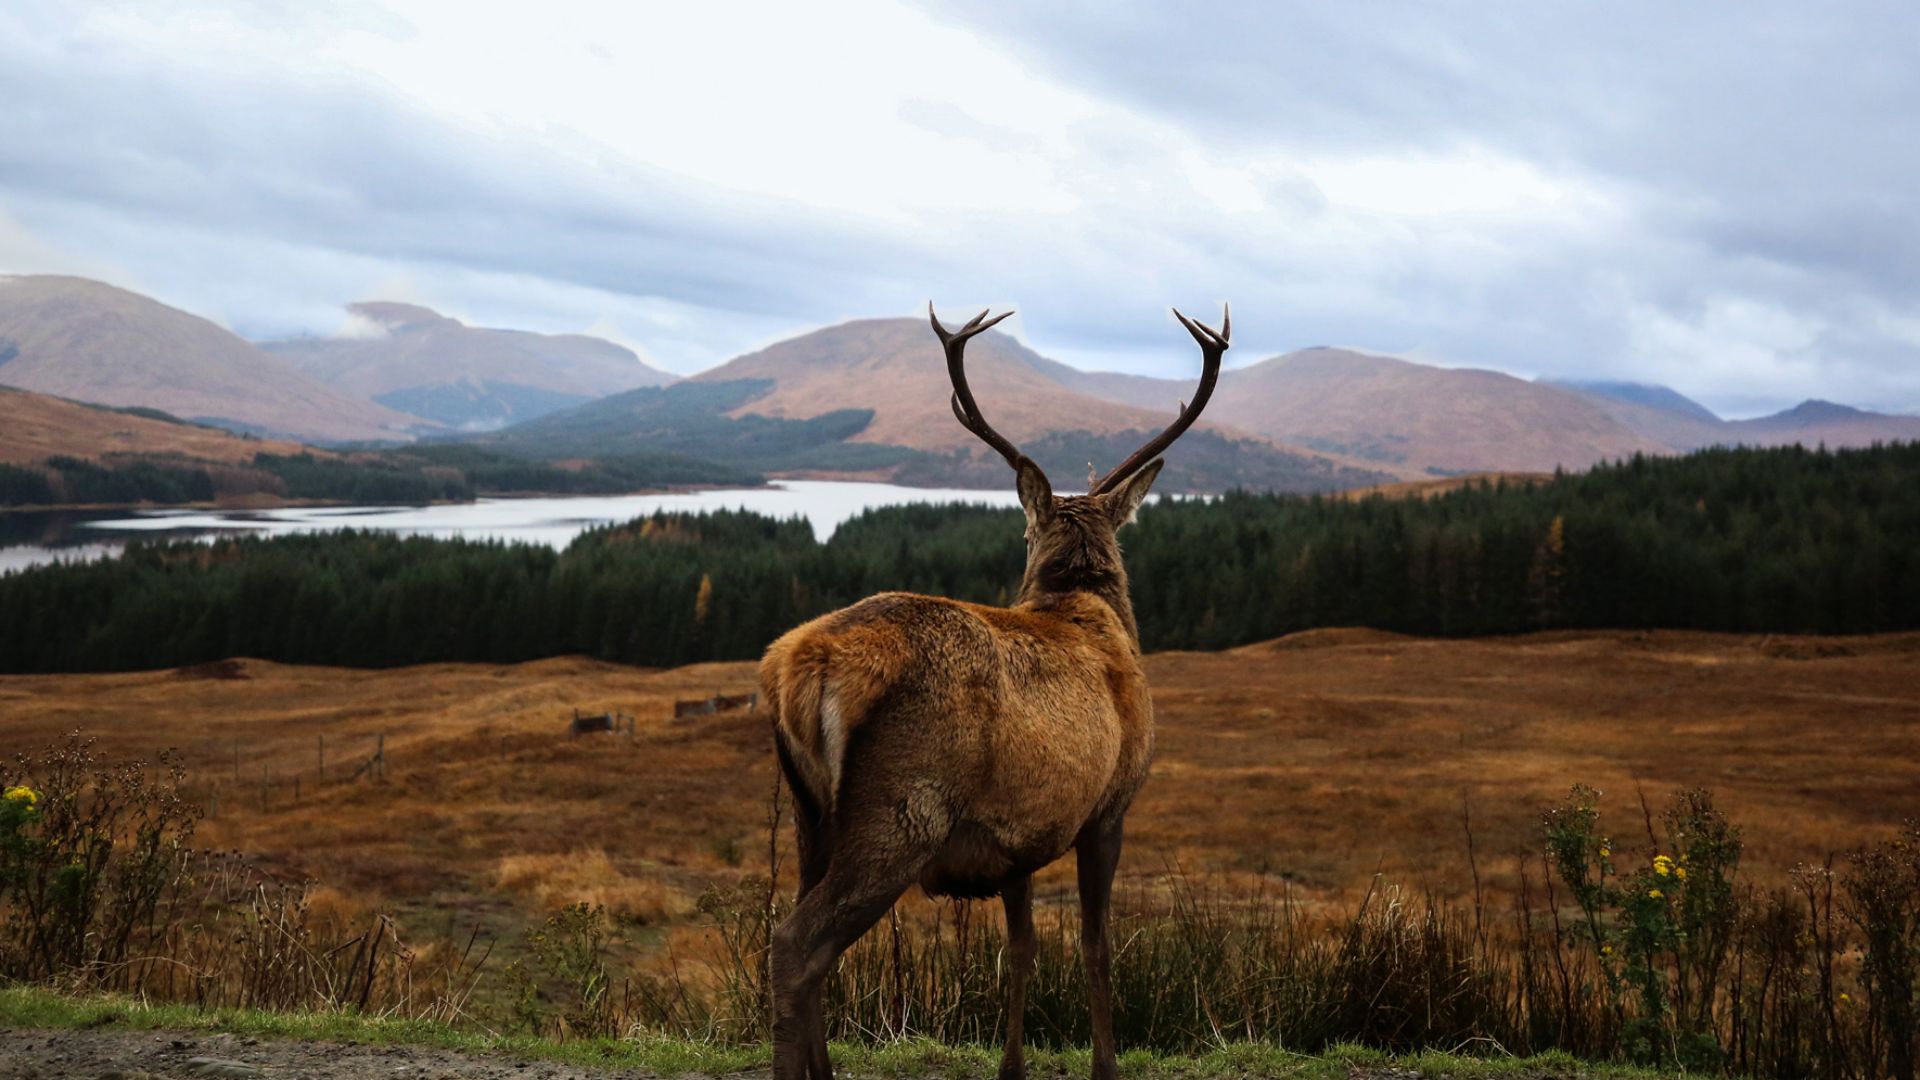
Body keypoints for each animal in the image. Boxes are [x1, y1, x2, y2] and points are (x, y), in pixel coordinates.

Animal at [760, 302, 1229, 1080]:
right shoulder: (1109, 806)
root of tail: (803, 664)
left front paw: (1012, 1065)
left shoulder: (1016, 836)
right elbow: (1096, 949)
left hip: (808, 813)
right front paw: (1106, 1065)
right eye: (1026, 534)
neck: (1089, 612)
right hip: (900, 809)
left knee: (804, 939)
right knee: (797, 944)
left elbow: (1022, 950)